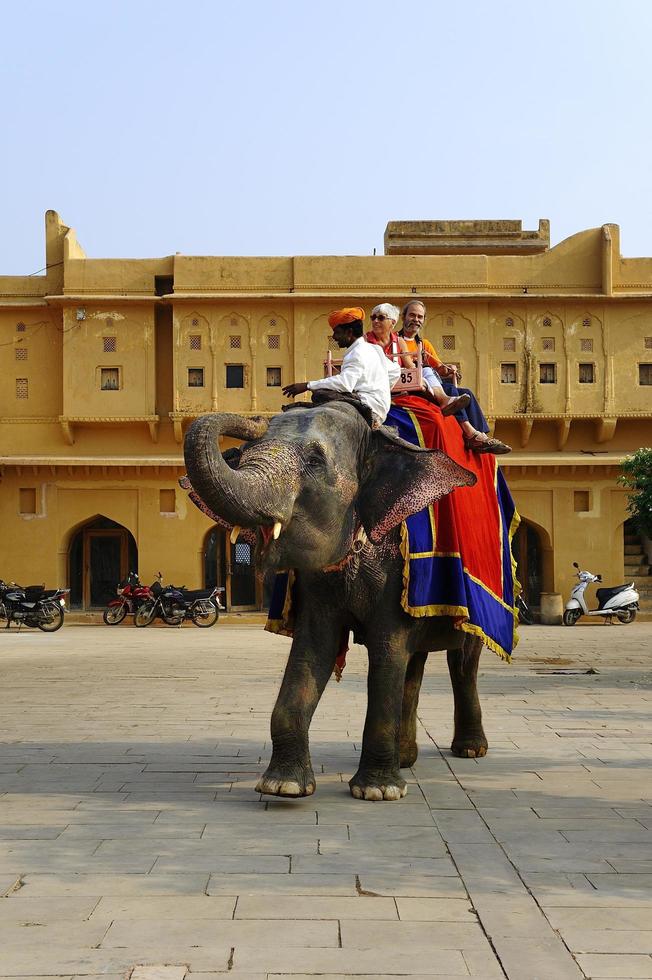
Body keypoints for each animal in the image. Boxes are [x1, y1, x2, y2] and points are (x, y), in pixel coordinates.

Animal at [183, 400, 488, 804]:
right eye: (245, 453)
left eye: (315, 460)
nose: (257, 418)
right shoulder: (317, 584)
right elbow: (314, 649)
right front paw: (284, 786)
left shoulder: (394, 571)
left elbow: (387, 649)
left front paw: (377, 792)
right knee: (415, 662)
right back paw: (406, 759)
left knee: (462, 660)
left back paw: (470, 750)